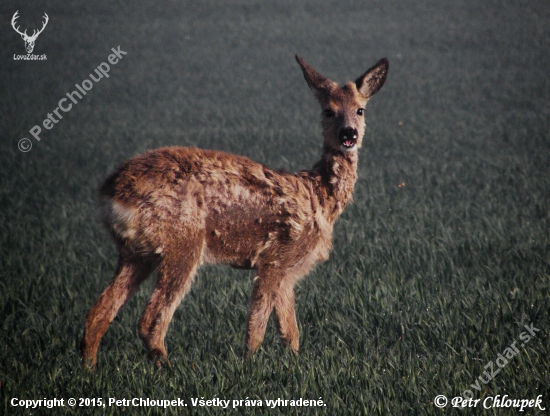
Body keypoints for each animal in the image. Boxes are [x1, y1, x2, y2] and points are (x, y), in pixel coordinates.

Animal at [82, 54, 390, 368]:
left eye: (360, 110)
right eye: (329, 111)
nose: (349, 134)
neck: (320, 197)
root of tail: (110, 194)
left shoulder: (288, 271)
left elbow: (290, 330)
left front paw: (293, 364)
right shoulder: (274, 258)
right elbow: (257, 325)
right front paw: (249, 367)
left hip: (135, 253)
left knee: (97, 313)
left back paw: (89, 369)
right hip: (182, 242)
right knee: (150, 320)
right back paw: (168, 369)